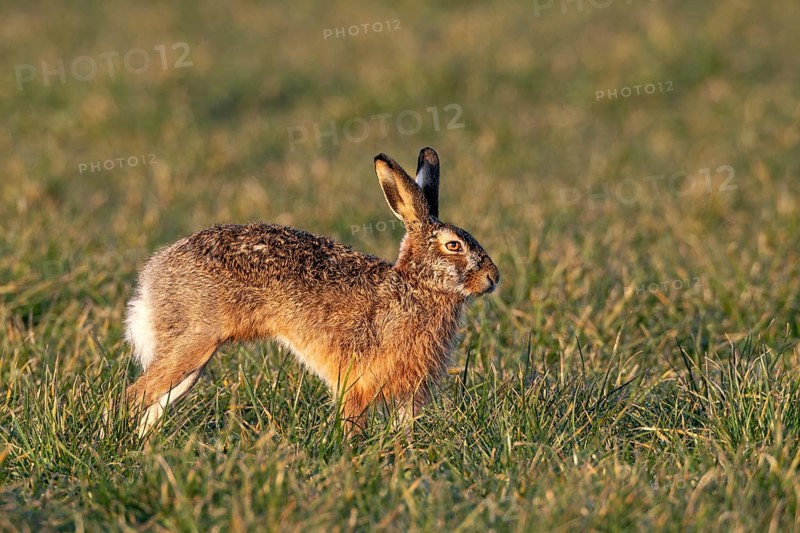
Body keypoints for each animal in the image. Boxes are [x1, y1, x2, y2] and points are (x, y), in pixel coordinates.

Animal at [123, 147, 499, 437]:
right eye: (454, 245)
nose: (493, 278)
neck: (417, 286)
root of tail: (154, 275)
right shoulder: (357, 381)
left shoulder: (410, 391)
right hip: (193, 341)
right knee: (135, 394)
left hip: (193, 360)